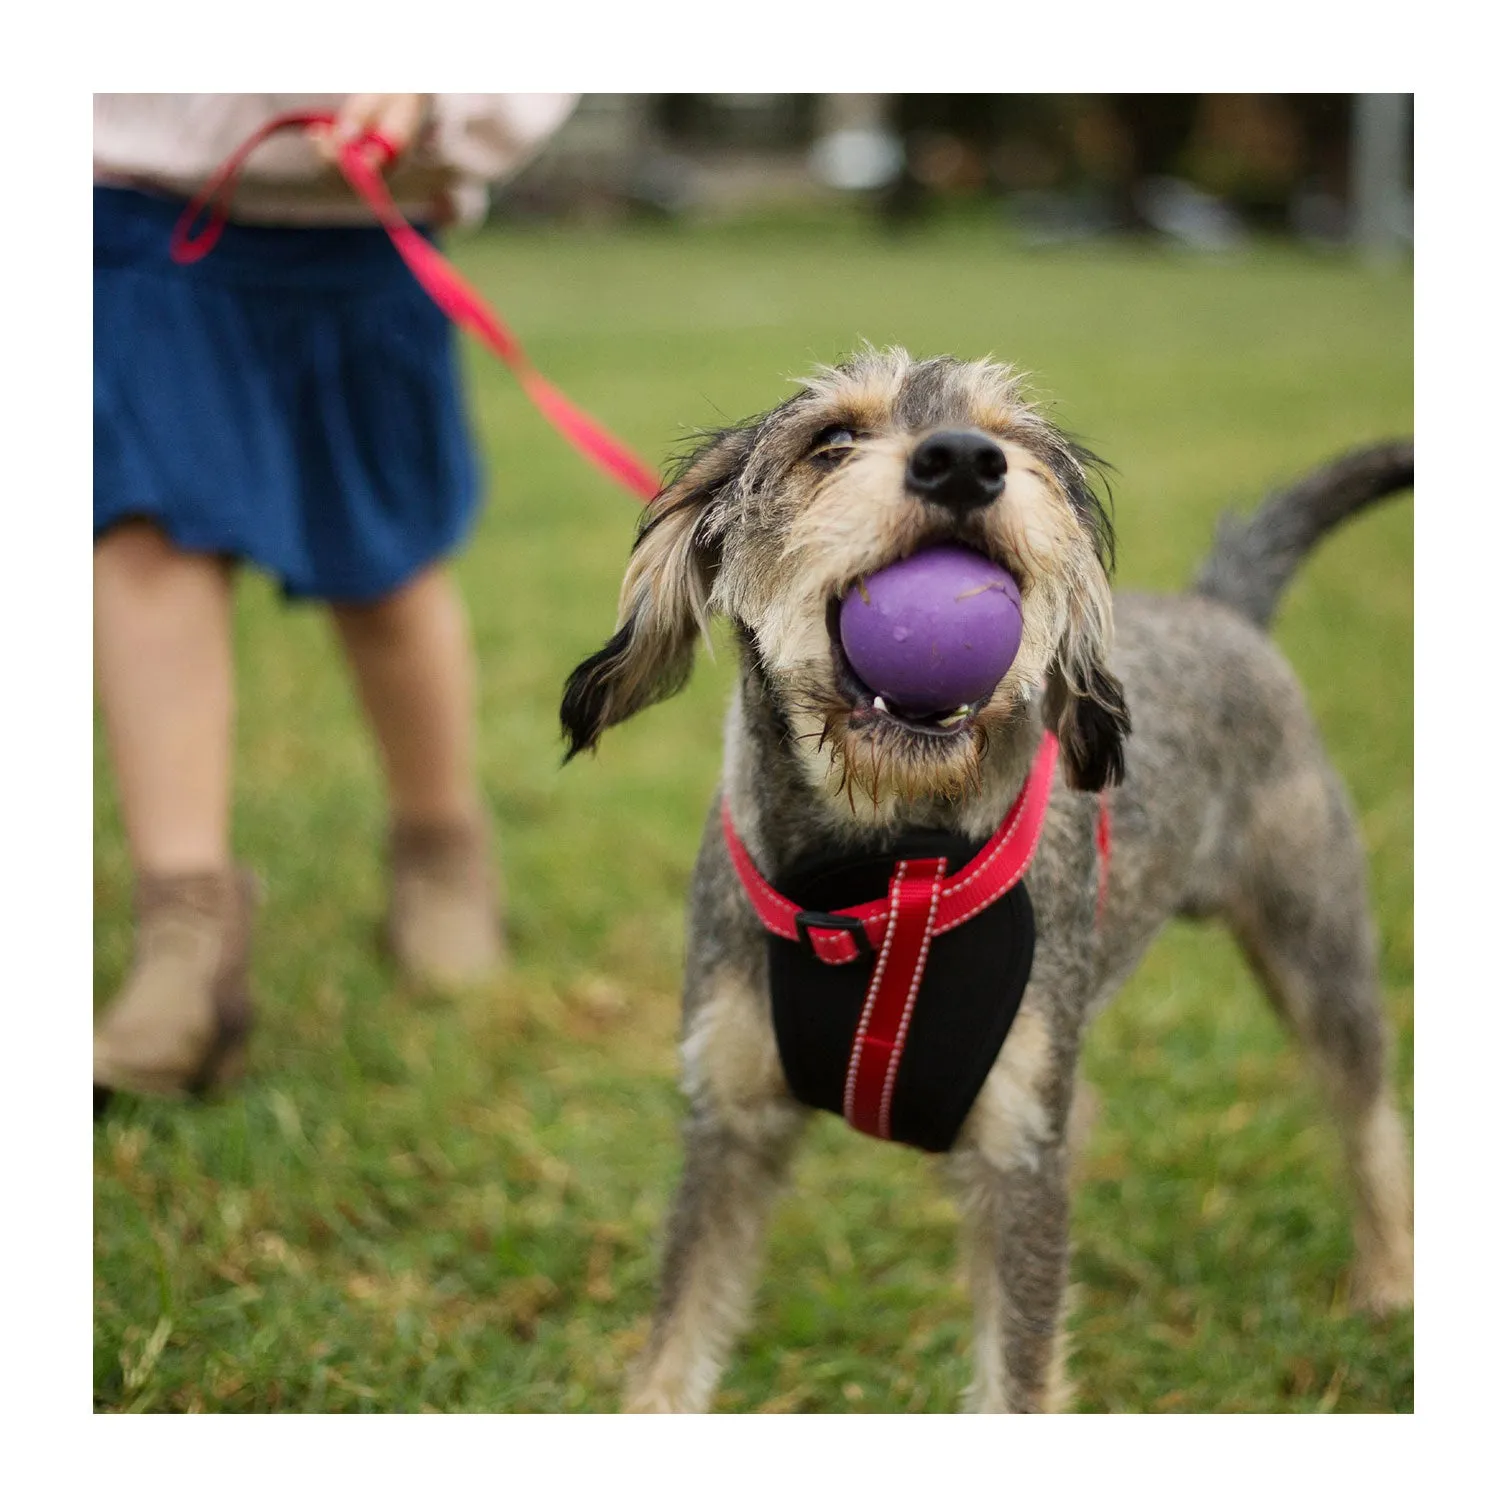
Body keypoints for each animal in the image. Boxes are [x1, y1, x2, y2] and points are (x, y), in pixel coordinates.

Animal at [558, 345, 1410, 1410]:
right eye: (830, 440)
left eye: (1009, 438)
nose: (964, 462)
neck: (878, 876)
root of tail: (1223, 608)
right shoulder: (728, 1126)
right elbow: (673, 1351)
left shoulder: (1019, 1158)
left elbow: (1020, 1376)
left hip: (1317, 942)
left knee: (1367, 1111)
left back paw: (1390, 1279)